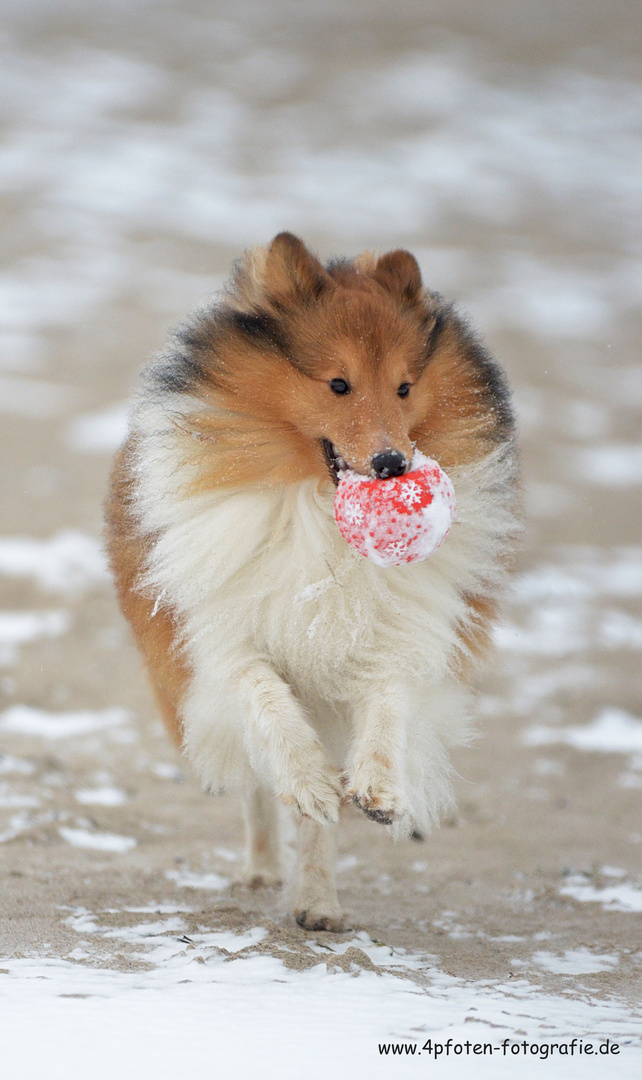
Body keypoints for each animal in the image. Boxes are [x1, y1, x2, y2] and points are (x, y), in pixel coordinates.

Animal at [103, 234, 514, 928]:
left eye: (405, 387)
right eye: (338, 383)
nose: (392, 463)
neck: (322, 513)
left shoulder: (397, 636)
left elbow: (387, 704)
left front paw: (376, 788)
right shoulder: (224, 639)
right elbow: (267, 702)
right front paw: (308, 779)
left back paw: (317, 901)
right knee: (254, 788)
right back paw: (266, 864)